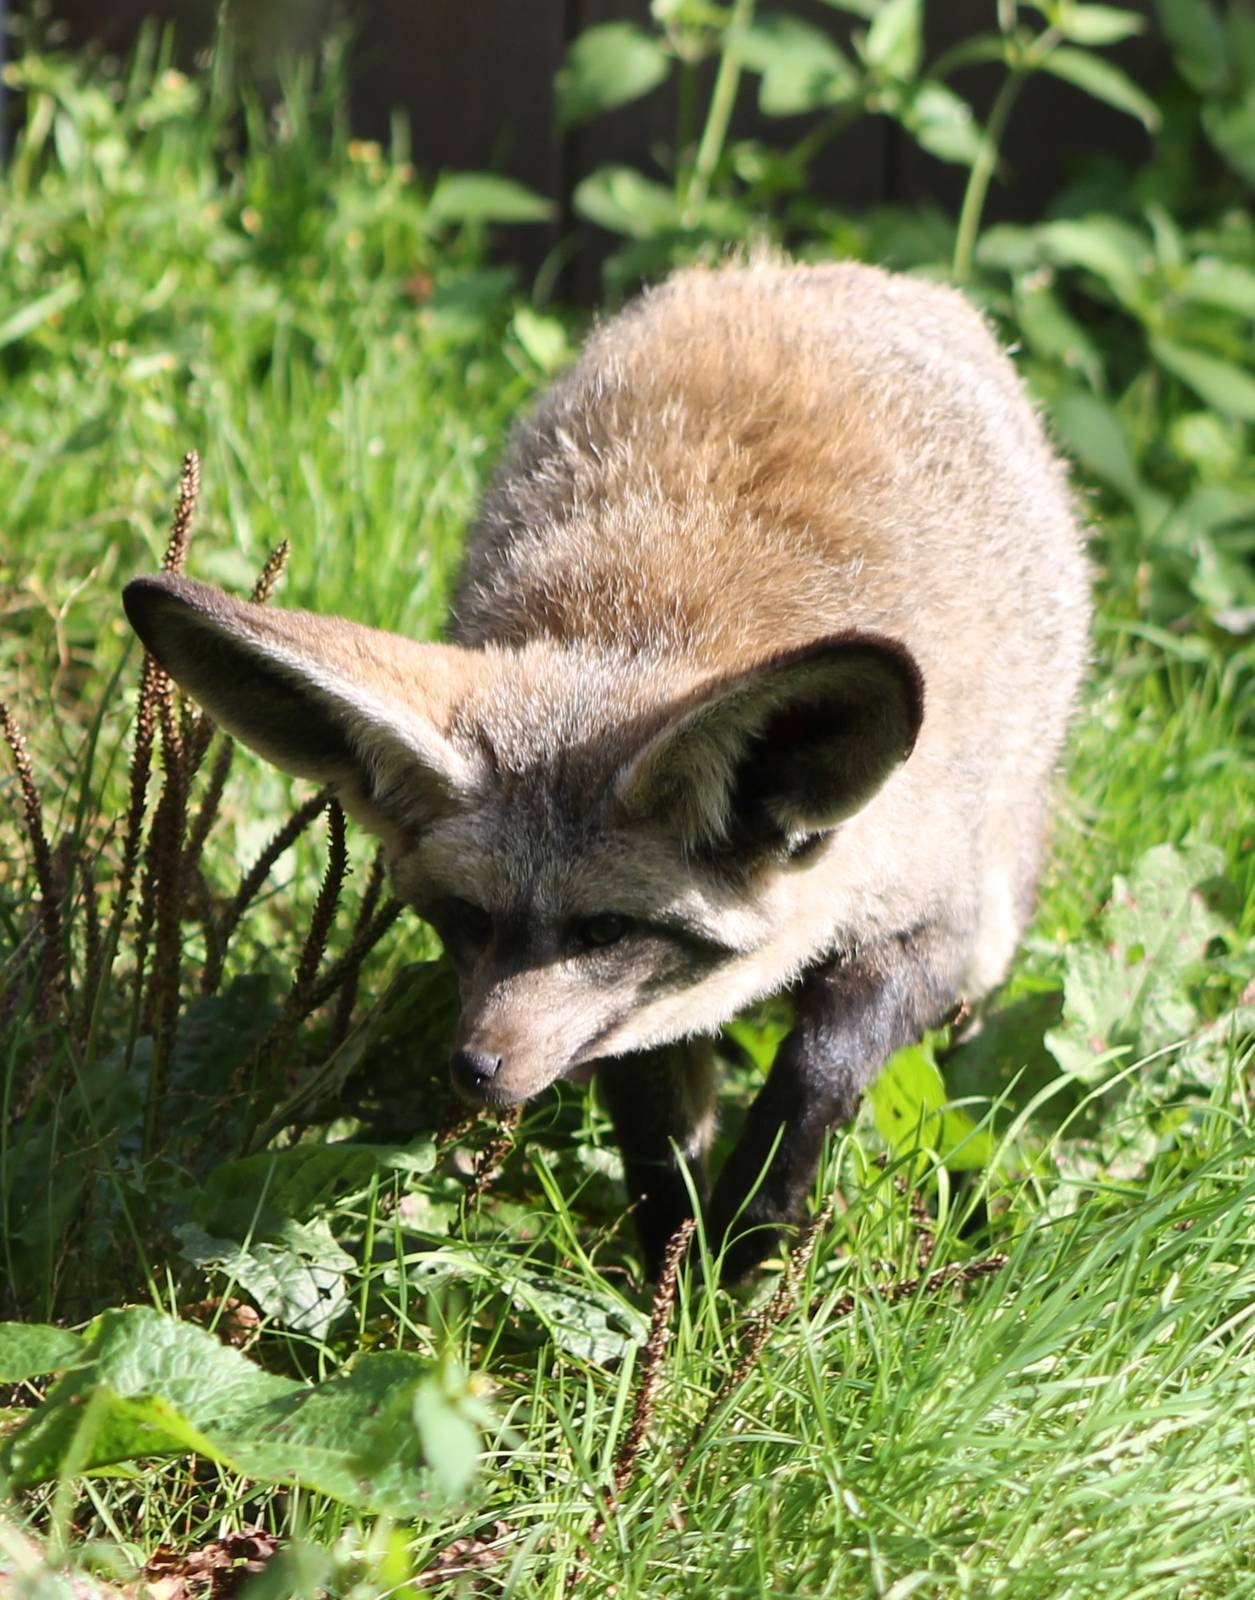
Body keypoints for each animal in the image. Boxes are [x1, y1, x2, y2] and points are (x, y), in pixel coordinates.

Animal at [123, 258, 1090, 1279]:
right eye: (468, 918)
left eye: (604, 930)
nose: (475, 1068)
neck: (644, 618)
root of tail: (805, 269)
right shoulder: (628, 1024)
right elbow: (655, 1130)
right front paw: (673, 1267)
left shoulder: (936, 919)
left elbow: (816, 1070)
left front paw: (749, 1237)